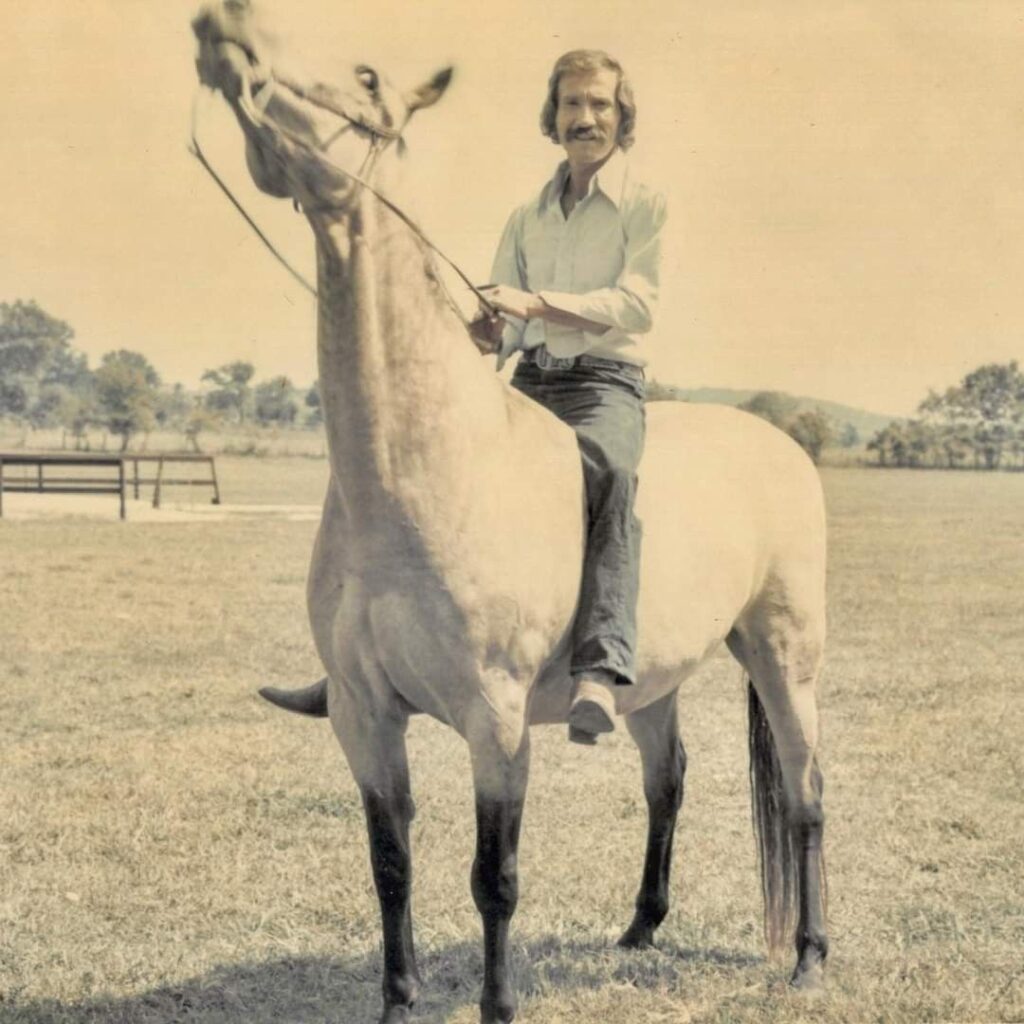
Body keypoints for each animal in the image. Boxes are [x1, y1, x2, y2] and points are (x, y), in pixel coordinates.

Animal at [191, 5, 829, 1022]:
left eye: (365, 77)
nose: (227, 27)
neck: (425, 474)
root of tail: (783, 445)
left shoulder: (494, 723)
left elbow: (494, 878)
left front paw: (496, 1003)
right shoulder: (364, 720)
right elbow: (391, 867)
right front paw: (398, 1000)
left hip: (784, 656)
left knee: (805, 793)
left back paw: (808, 956)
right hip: (655, 681)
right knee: (668, 781)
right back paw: (640, 928)